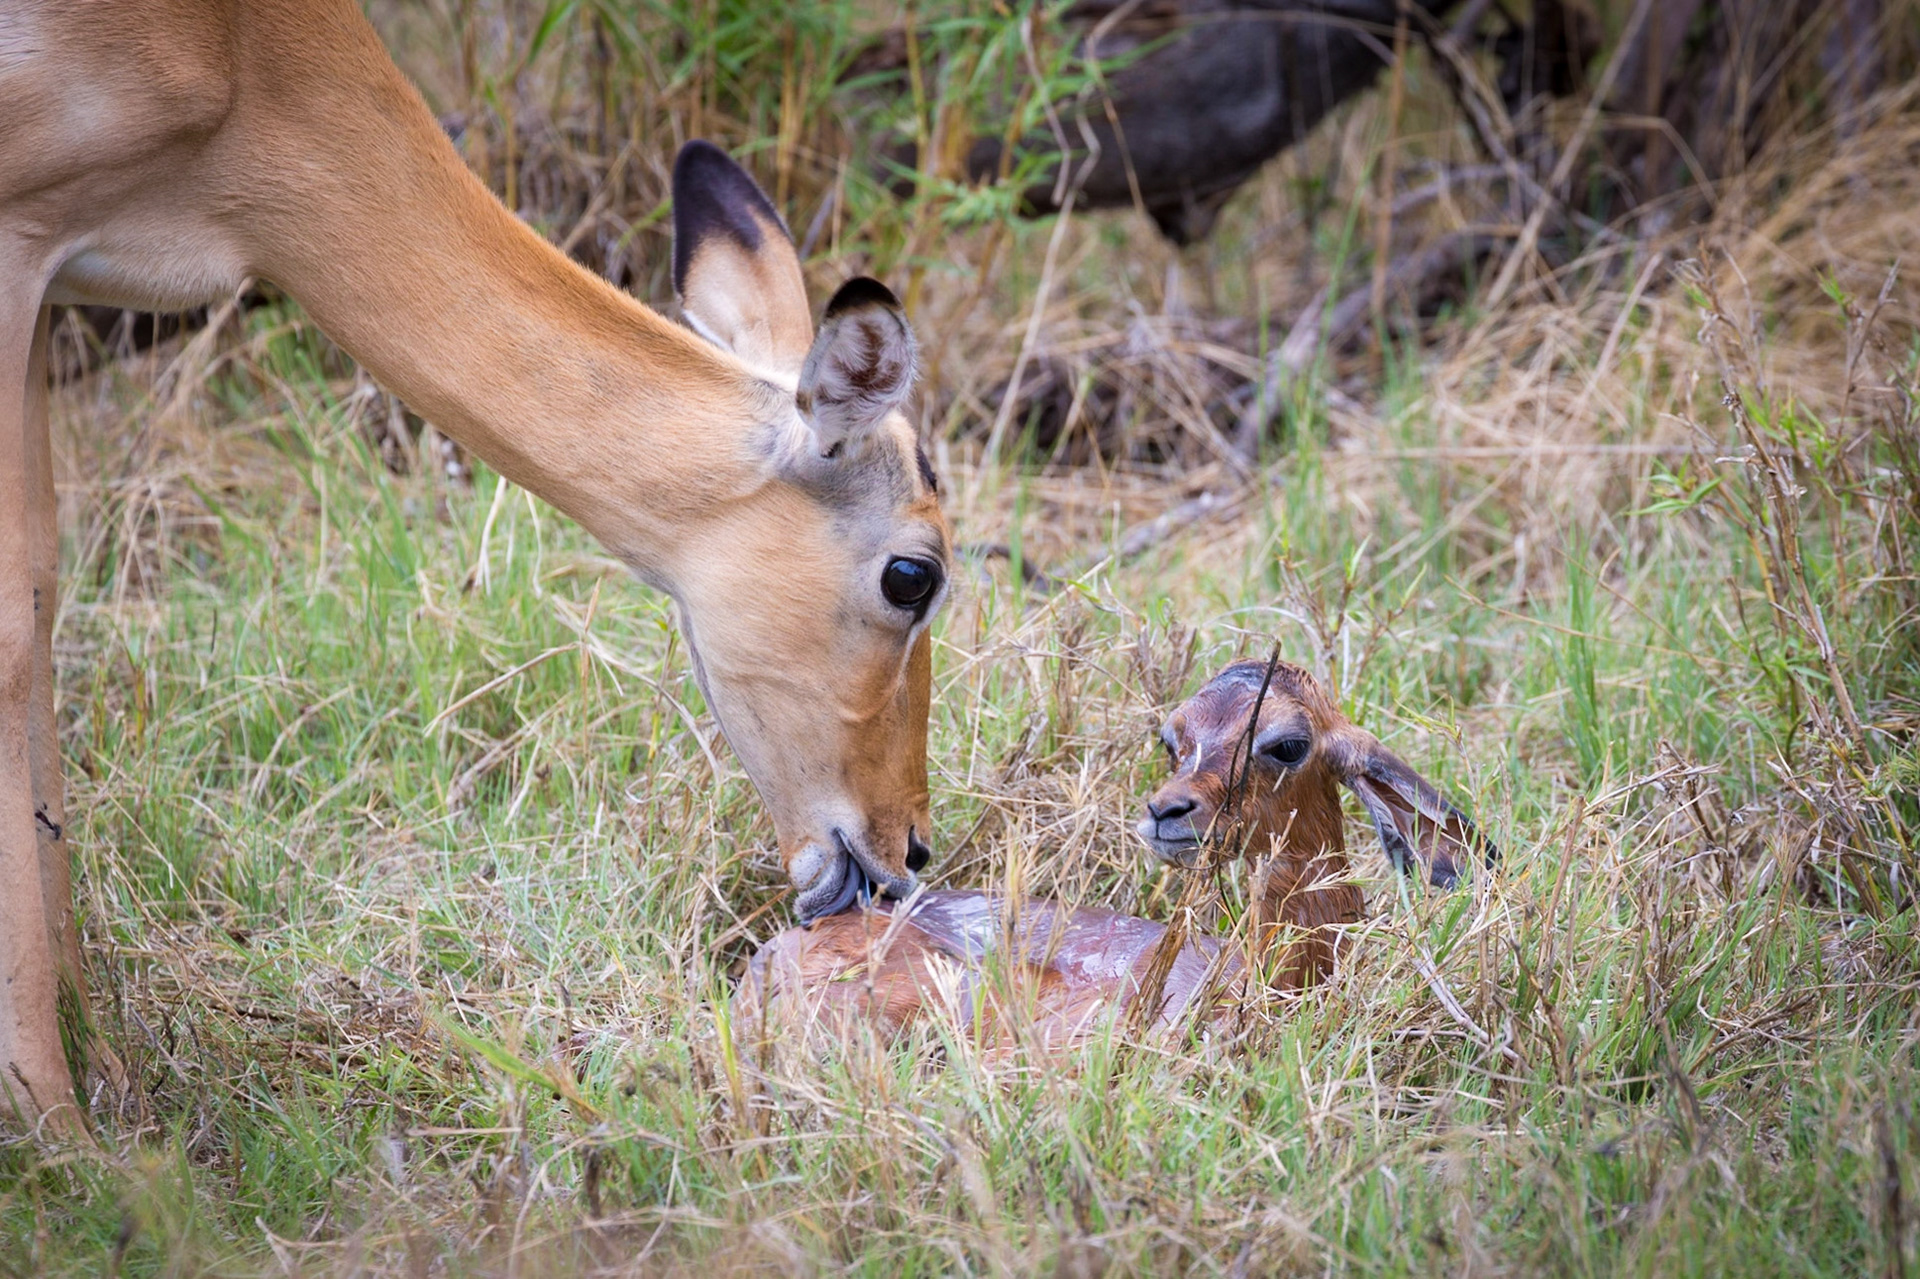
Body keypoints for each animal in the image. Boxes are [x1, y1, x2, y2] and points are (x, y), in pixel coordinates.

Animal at [1, 0, 950, 1133]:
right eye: (914, 574)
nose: (907, 850)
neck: (241, 59)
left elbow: (44, 591)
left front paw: (99, 1076)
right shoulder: (15, 244)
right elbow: (13, 627)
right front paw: (62, 1130)